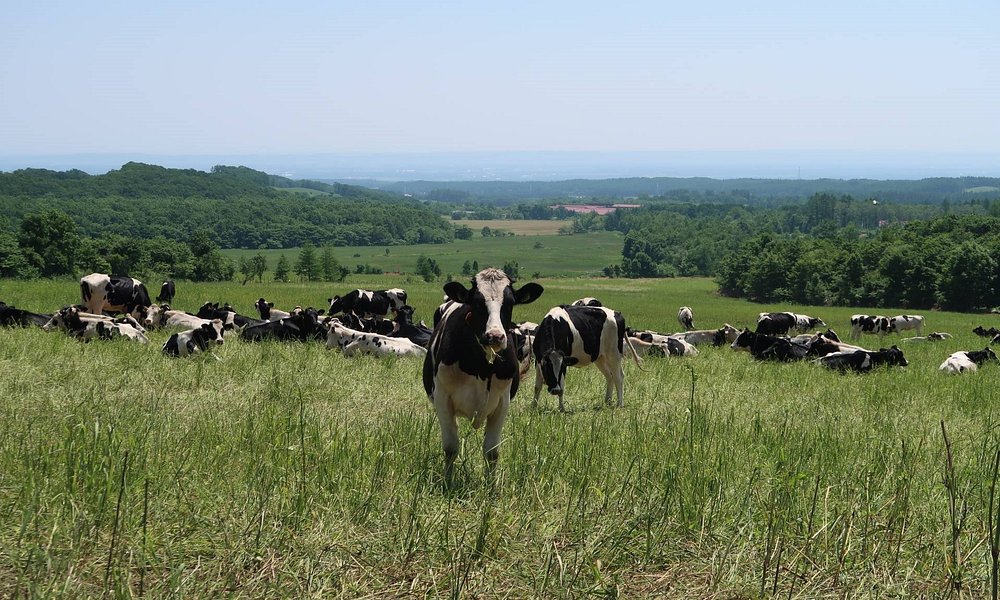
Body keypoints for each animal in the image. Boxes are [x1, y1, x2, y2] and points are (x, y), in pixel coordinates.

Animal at [422, 268, 548, 482]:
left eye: (510, 302)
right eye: (477, 302)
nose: (495, 336)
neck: (480, 367)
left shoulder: (502, 402)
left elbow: (491, 451)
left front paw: (490, 485)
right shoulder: (442, 398)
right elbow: (450, 448)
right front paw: (447, 482)